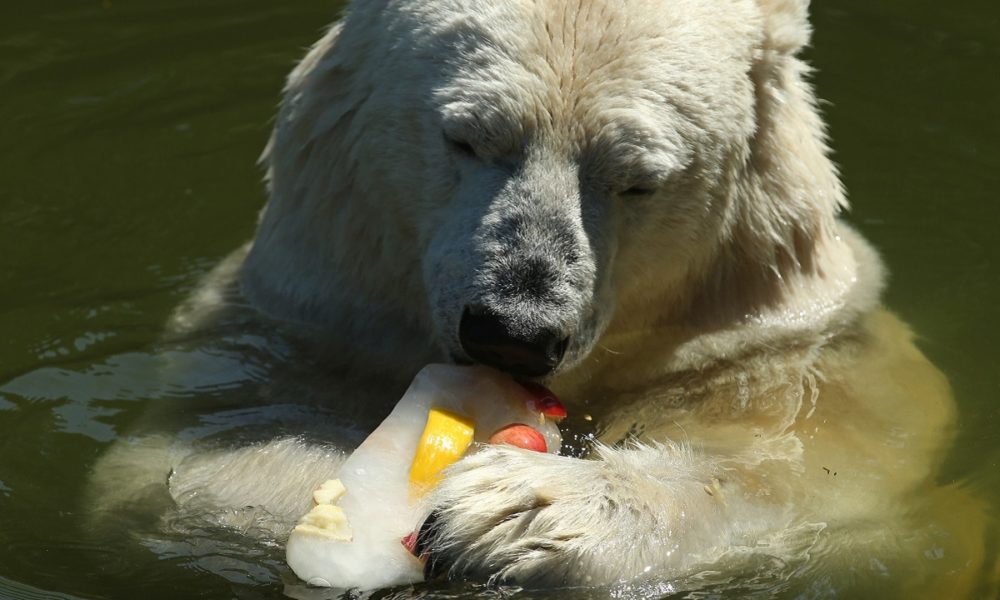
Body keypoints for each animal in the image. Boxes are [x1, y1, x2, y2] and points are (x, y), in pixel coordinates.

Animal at [88, 0, 989, 595]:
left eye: (639, 177)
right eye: (466, 135)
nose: (515, 329)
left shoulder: (786, 352)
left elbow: (805, 484)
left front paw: (518, 510)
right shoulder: (294, 320)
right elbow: (168, 476)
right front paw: (360, 507)